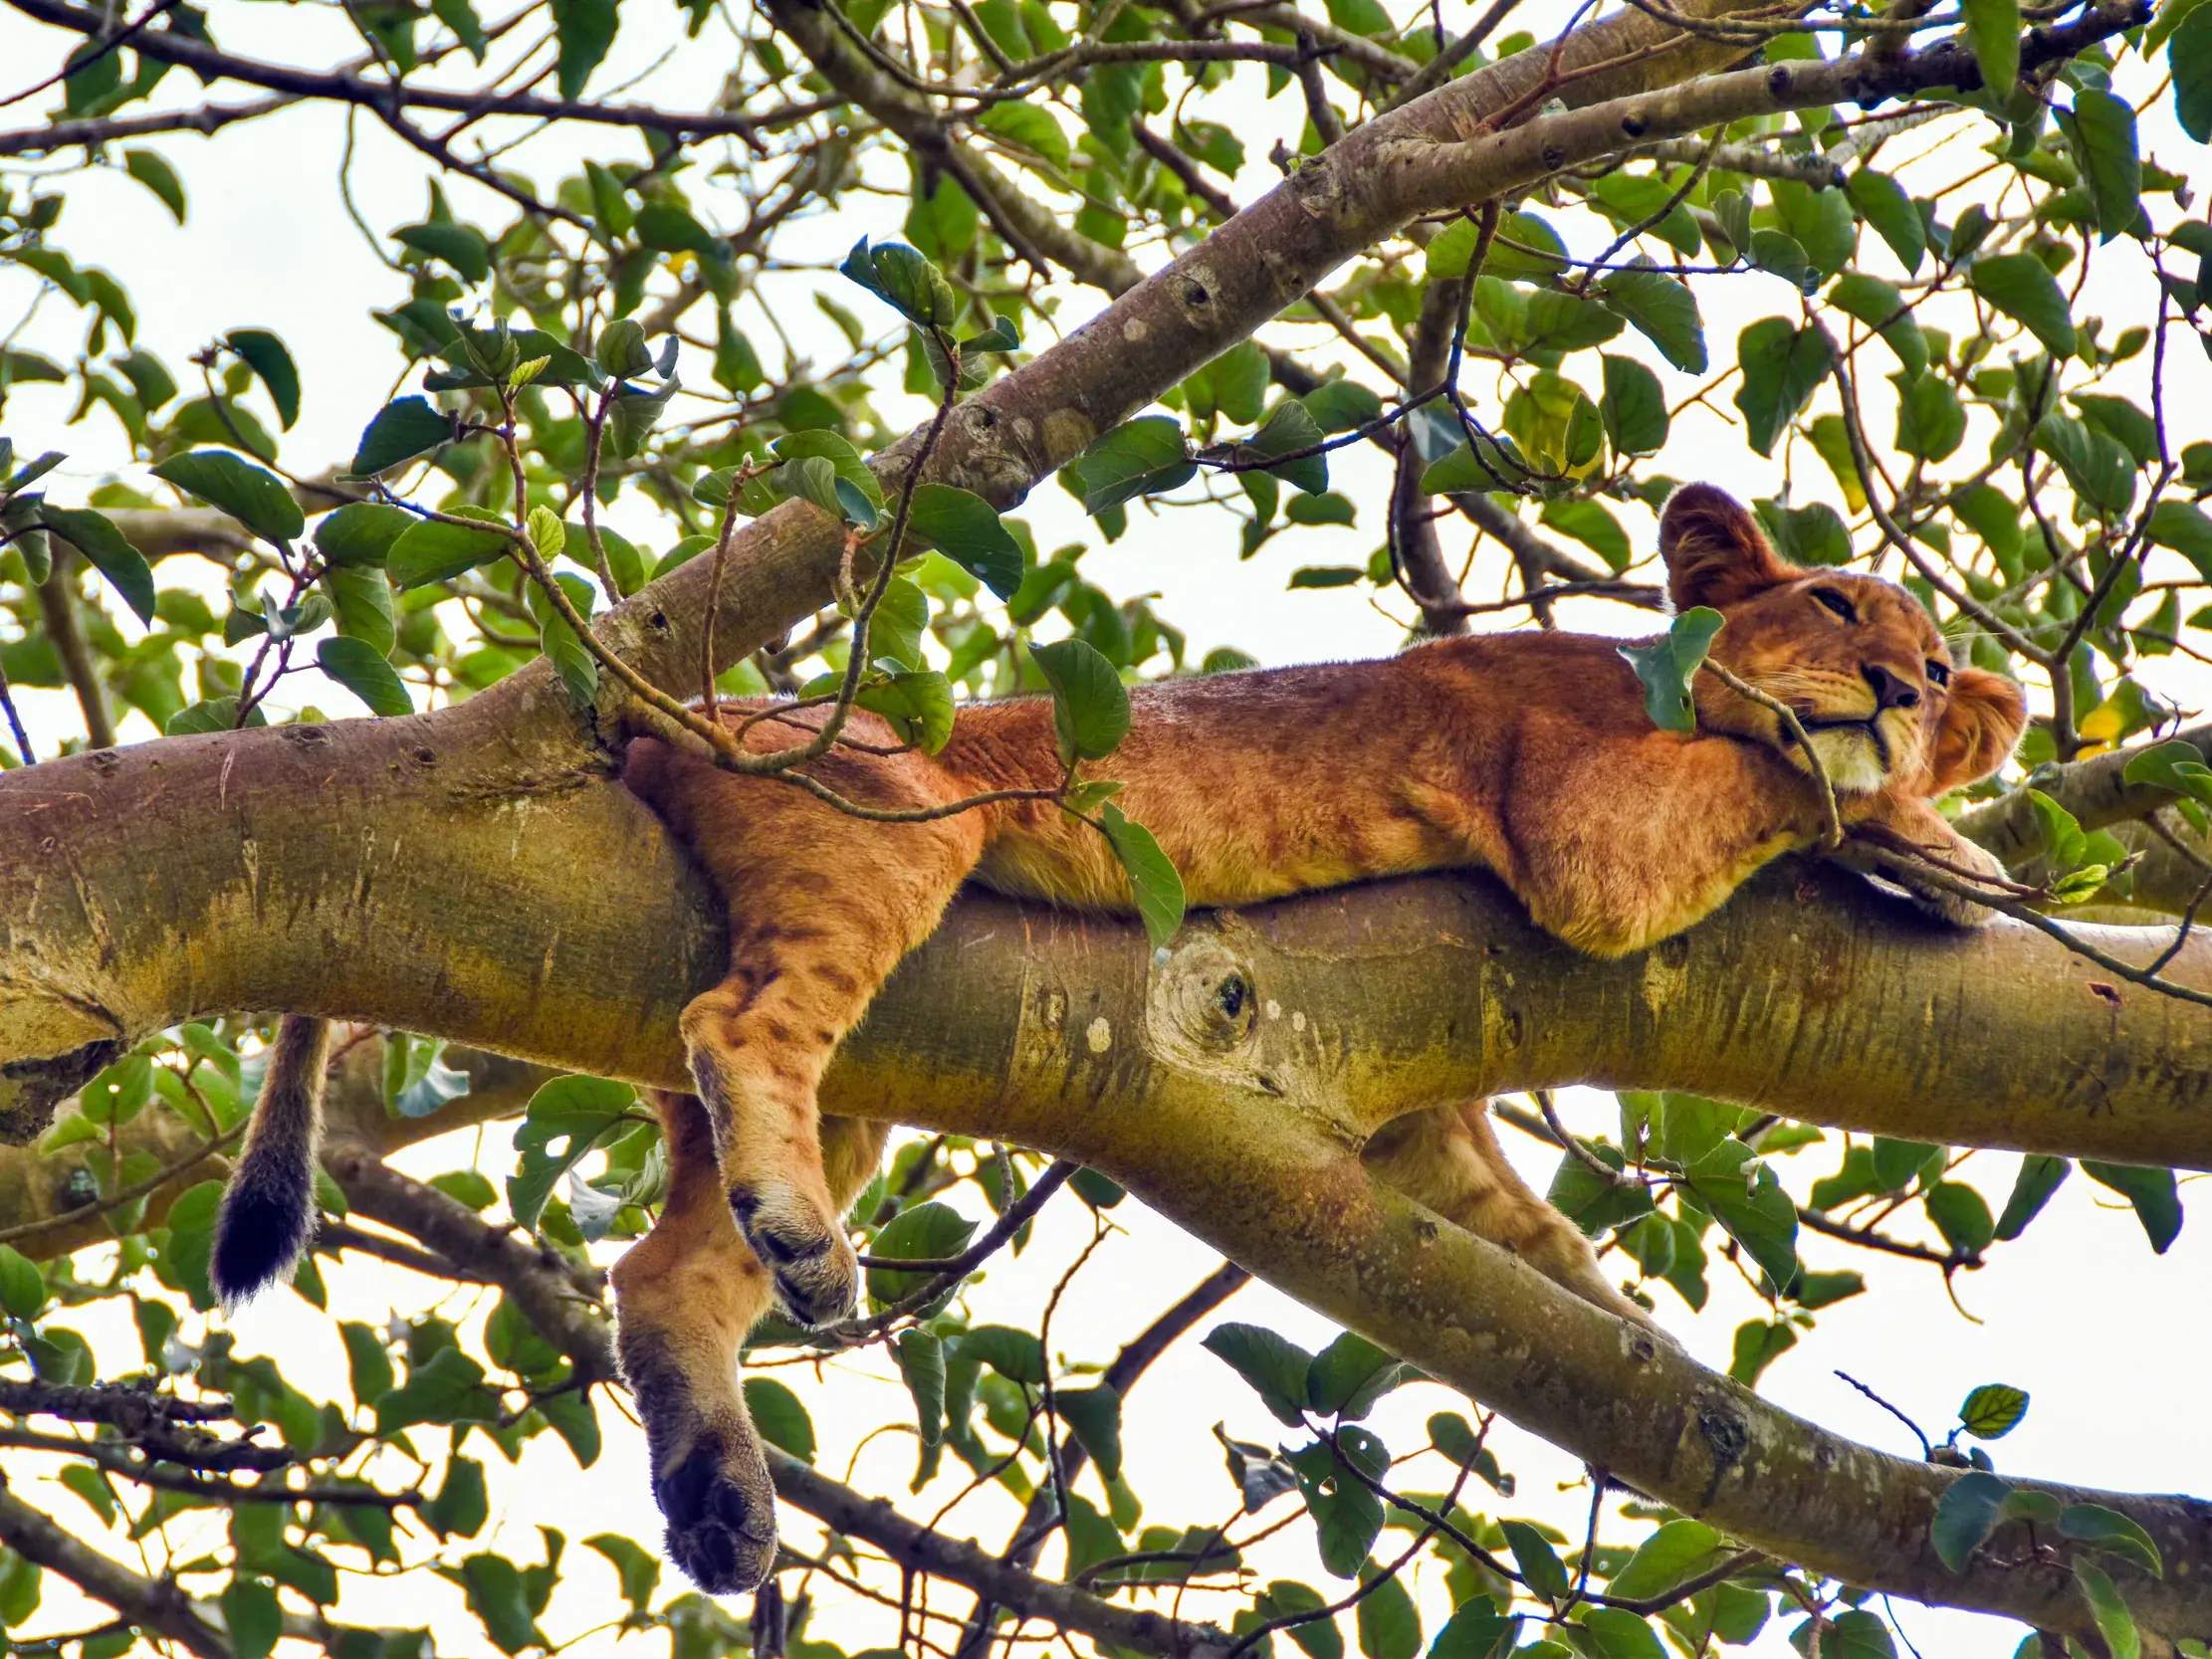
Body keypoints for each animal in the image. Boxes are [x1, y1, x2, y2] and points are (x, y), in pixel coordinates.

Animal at [210, 481, 2026, 1596]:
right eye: (1835, 600)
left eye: (1938, 658)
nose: (1909, 684)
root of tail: (691, 706)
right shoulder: (1580, 827)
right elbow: (1769, 778)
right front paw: (1940, 839)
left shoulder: (1417, 1115)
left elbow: (1536, 1243)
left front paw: (1650, 1370)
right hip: (882, 818)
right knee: (740, 1022)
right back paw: (798, 1254)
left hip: (853, 1062)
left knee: (668, 1261)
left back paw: (726, 1487)